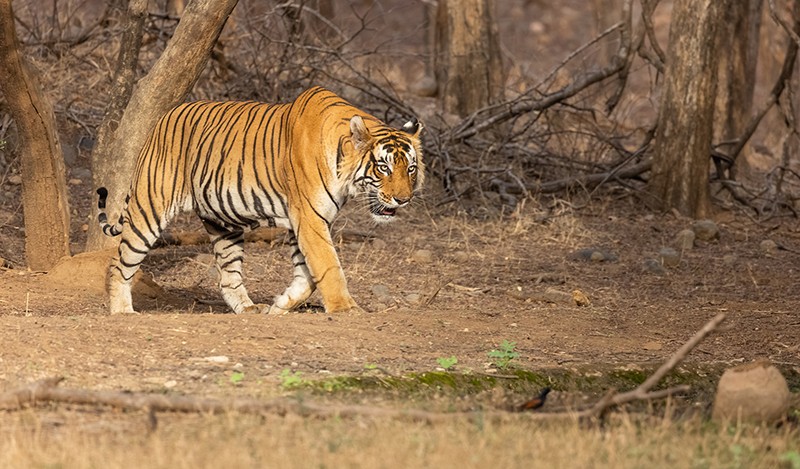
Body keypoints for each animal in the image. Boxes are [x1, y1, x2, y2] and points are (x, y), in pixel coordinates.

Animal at [97, 87, 424, 314]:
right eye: (383, 168)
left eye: (410, 168)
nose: (403, 199)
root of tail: (162, 119)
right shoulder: (309, 218)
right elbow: (328, 265)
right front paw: (346, 309)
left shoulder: (304, 222)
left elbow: (308, 275)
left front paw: (280, 305)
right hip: (150, 208)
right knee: (119, 263)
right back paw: (122, 311)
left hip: (223, 223)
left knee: (228, 276)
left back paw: (249, 309)